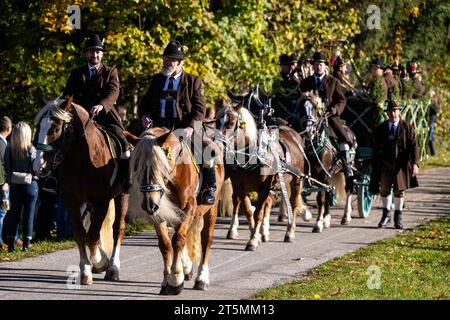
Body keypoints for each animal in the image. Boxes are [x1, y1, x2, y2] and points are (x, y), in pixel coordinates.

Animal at [33, 97, 131, 284]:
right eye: (38, 128)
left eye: (55, 129)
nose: (38, 167)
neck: (82, 159)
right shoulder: (71, 201)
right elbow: (81, 234)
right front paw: (86, 269)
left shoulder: (101, 202)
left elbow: (92, 236)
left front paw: (101, 262)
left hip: (122, 195)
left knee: (118, 228)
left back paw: (113, 268)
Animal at [130, 126, 225, 294]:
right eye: (137, 167)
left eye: (159, 167)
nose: (149, 204)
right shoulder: (159, 214)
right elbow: (165, 244)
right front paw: (166, 281)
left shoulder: (188, 208)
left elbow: (178, 240)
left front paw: (175, 281)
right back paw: (187, 268)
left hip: (211, 208)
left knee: (206, 238)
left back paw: (202, 279)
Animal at [215, 86, 306, 251]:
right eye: (217, 121)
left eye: (231, 123)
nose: (218, 144)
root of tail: (292, 132)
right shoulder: (240, 185)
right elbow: (248, 211)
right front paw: (255, 236)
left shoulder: (264, 187)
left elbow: (258, 213)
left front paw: (252, 240)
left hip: (296, 181)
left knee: (293, 203)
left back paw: (289, 232)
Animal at [298, 92, 356, 232]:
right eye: (301, 108)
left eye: (315, 108)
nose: (309, 131)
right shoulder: (310, 175)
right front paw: (313, 217)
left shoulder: (323, 174)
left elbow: (321, 198)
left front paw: (318, 223)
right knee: (329, 192)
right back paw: (327, 219)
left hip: (346, 171)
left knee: (348, 189)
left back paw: (346, 217)